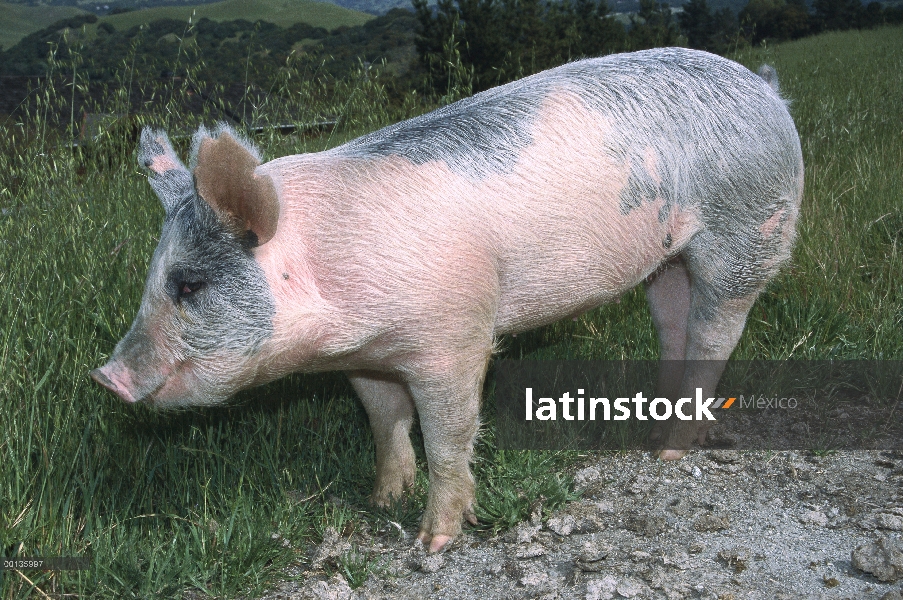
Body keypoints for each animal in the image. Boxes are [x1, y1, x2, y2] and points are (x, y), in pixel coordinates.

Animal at [92, 47, 804, 552]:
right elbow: (384, 419)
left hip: (750, 230)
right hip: (665, 260)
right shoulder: (366, 358)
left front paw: (432, 542)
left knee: (717, 331)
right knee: (673, 322)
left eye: (189, 284)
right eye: (156, 278)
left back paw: (669, 451)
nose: (105, 376)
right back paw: (649, 425)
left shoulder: (453, 338)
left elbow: (448, 433)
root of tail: (766, 87)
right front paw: (382, 499)